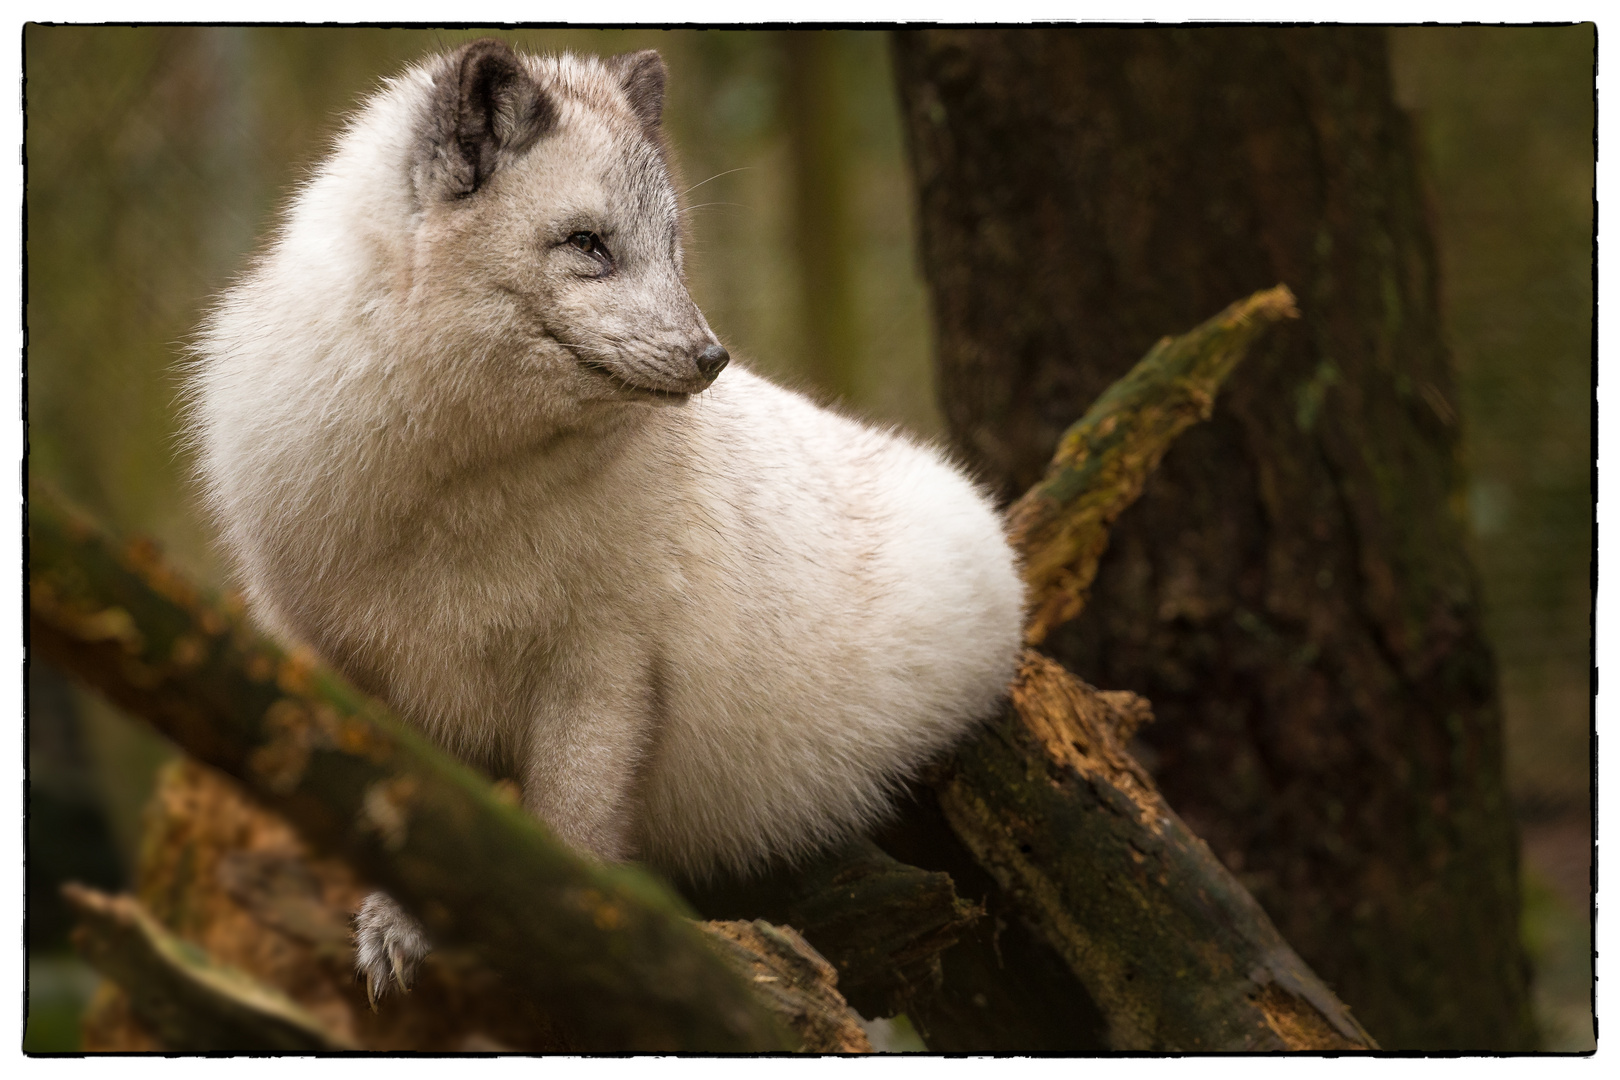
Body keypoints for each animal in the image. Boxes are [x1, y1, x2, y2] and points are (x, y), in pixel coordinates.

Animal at [186, 40, 1023, 1003]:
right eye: (588, 243)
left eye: (673, 247)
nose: (710, 357)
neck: (453, 498)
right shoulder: (353, 668)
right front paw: (399, 926)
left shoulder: (604, 670)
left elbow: (570, 828)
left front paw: (576, 952)